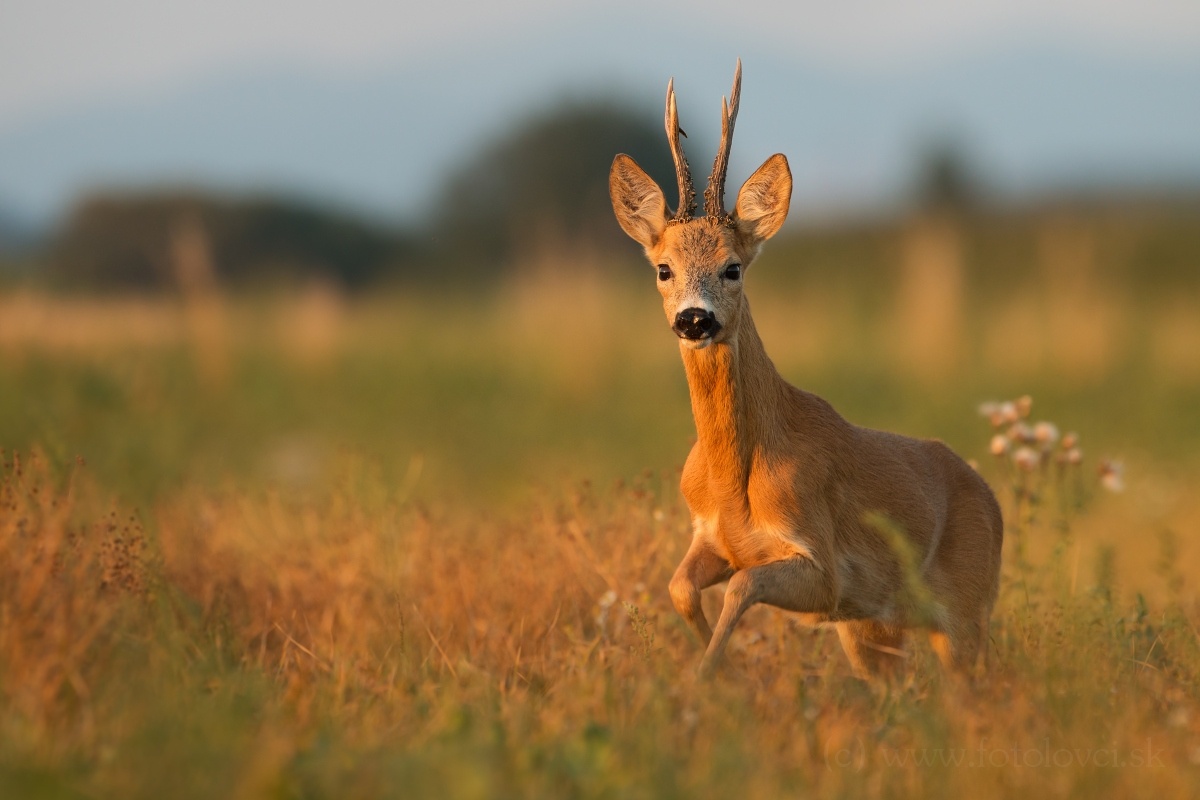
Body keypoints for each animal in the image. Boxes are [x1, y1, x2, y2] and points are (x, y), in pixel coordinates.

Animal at [609, 59, 1003, 681]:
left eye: (733, 267)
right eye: (663, 268)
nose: (695, 319)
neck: (734, 483)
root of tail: (993, 502)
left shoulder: (823, 570)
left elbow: (742, 586)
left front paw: (710, 676)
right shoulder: (711, 538)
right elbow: (678, 587)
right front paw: (716, 671)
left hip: (966, 613)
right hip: (876, 629)